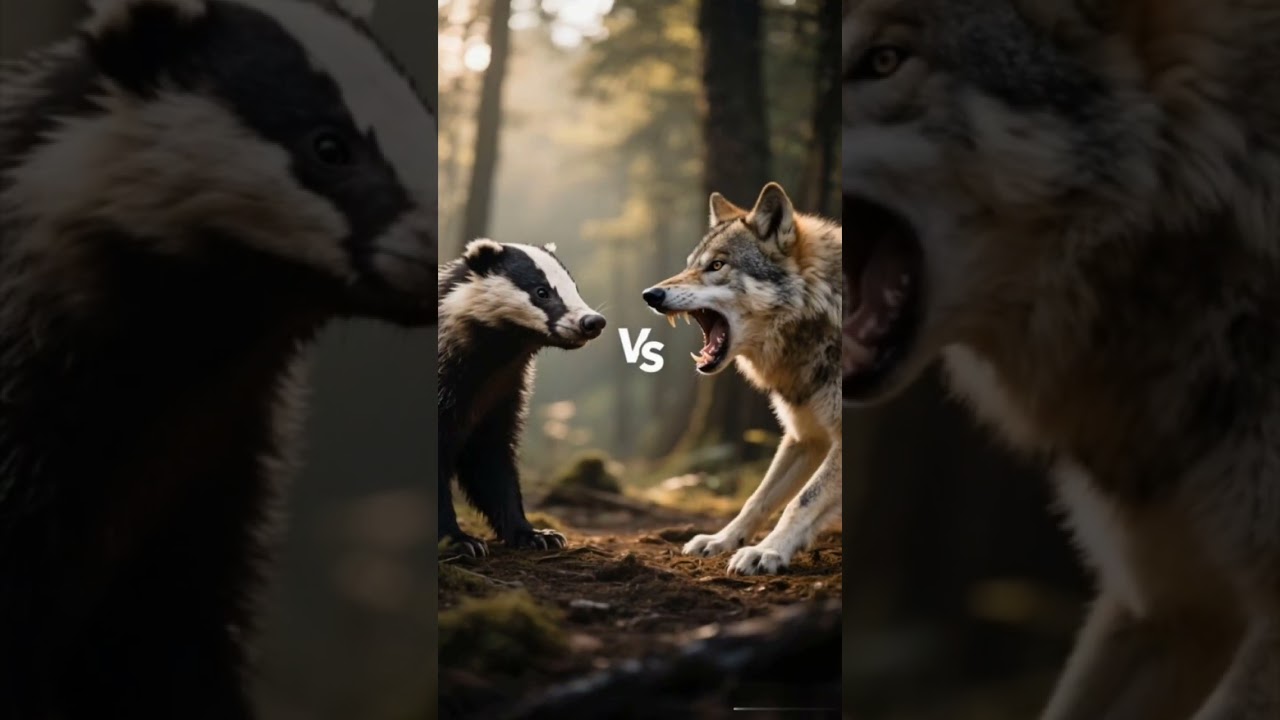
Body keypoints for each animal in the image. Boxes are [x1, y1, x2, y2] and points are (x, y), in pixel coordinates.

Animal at [641, 182, 842, 576]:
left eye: (717, 265)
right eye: (690, 265)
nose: (650, 294)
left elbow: (802, 501)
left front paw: (767, 551)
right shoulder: (805, 436)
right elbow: (758, 498)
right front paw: (722, 540)